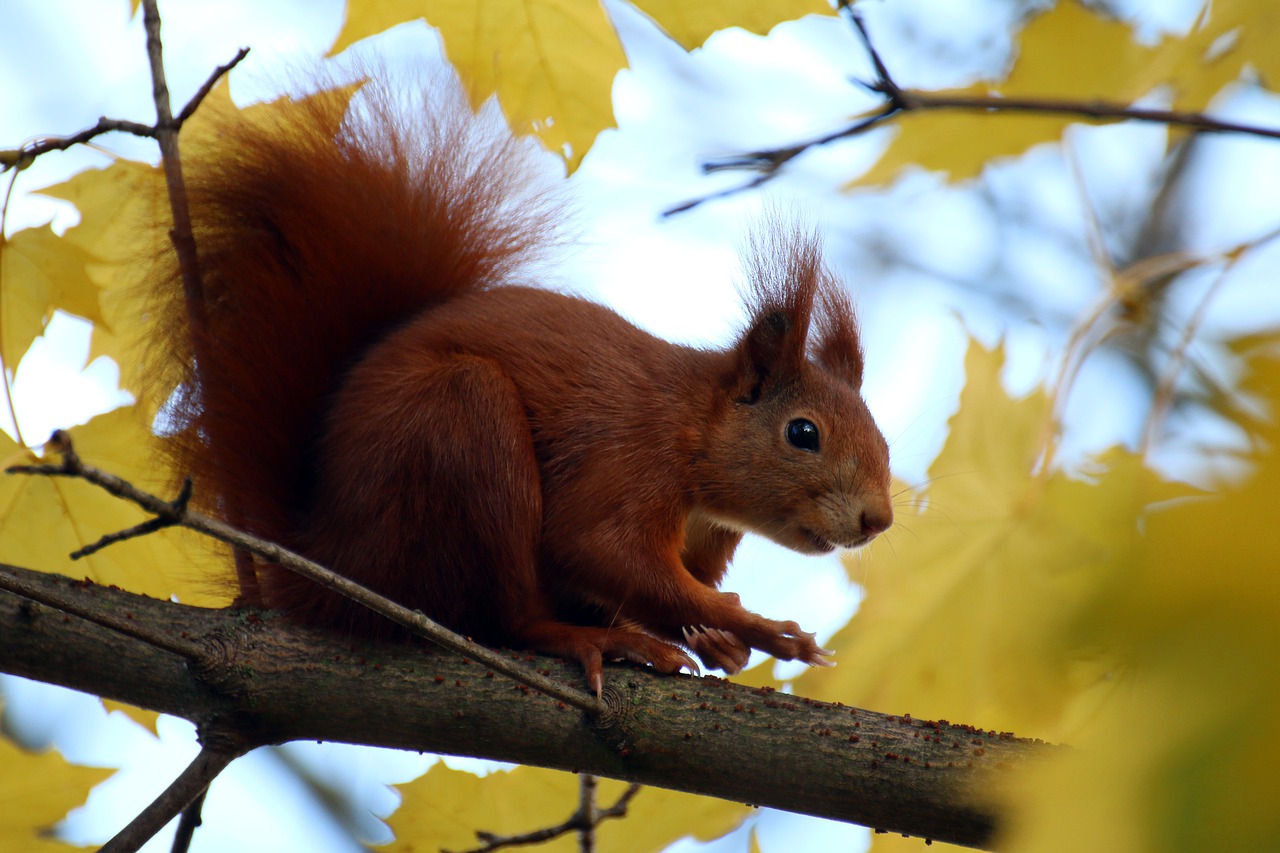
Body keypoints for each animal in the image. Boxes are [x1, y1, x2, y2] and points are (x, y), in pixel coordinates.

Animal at [147, 79, 890, 696]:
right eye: (803, 433)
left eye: (882, 439)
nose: (877, 520)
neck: (690, 428)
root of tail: (329, 561)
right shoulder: (628, 457)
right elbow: (596, 546)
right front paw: (765, 631)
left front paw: (719, 640)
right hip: (461, 429)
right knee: (507, 619)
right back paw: (589, 639)